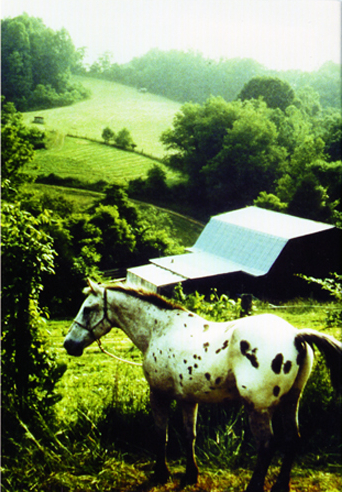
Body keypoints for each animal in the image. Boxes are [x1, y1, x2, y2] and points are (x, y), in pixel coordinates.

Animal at [63, 280, 340, 492]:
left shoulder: (159, 395)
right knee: (293, 439)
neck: (160, 329)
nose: (69, 344)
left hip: (258, 408)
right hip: (291, 402)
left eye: (88, 309)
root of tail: (295, 335)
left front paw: (161, 473)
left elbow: (161, 433)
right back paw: (281, 485)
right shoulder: (188, 399)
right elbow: (189, 435)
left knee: (267, 445)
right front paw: (190, 475)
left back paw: (255, 486)